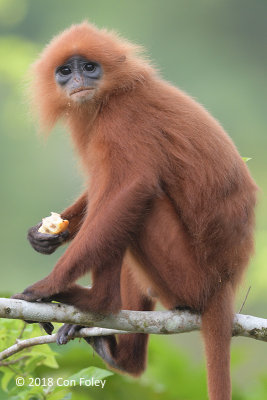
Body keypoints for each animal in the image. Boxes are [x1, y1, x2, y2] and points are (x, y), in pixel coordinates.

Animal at [12, 22, 258, 400]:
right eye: (65, 71)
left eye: (89, 67)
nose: (77, 80)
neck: (110, 97)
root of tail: (225, 283)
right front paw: (45, 234)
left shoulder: (123, 120)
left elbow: (131, 189)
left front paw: (48, 285)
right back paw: (122, 356)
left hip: (191, 278)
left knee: (138, 203)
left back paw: (98, 302)